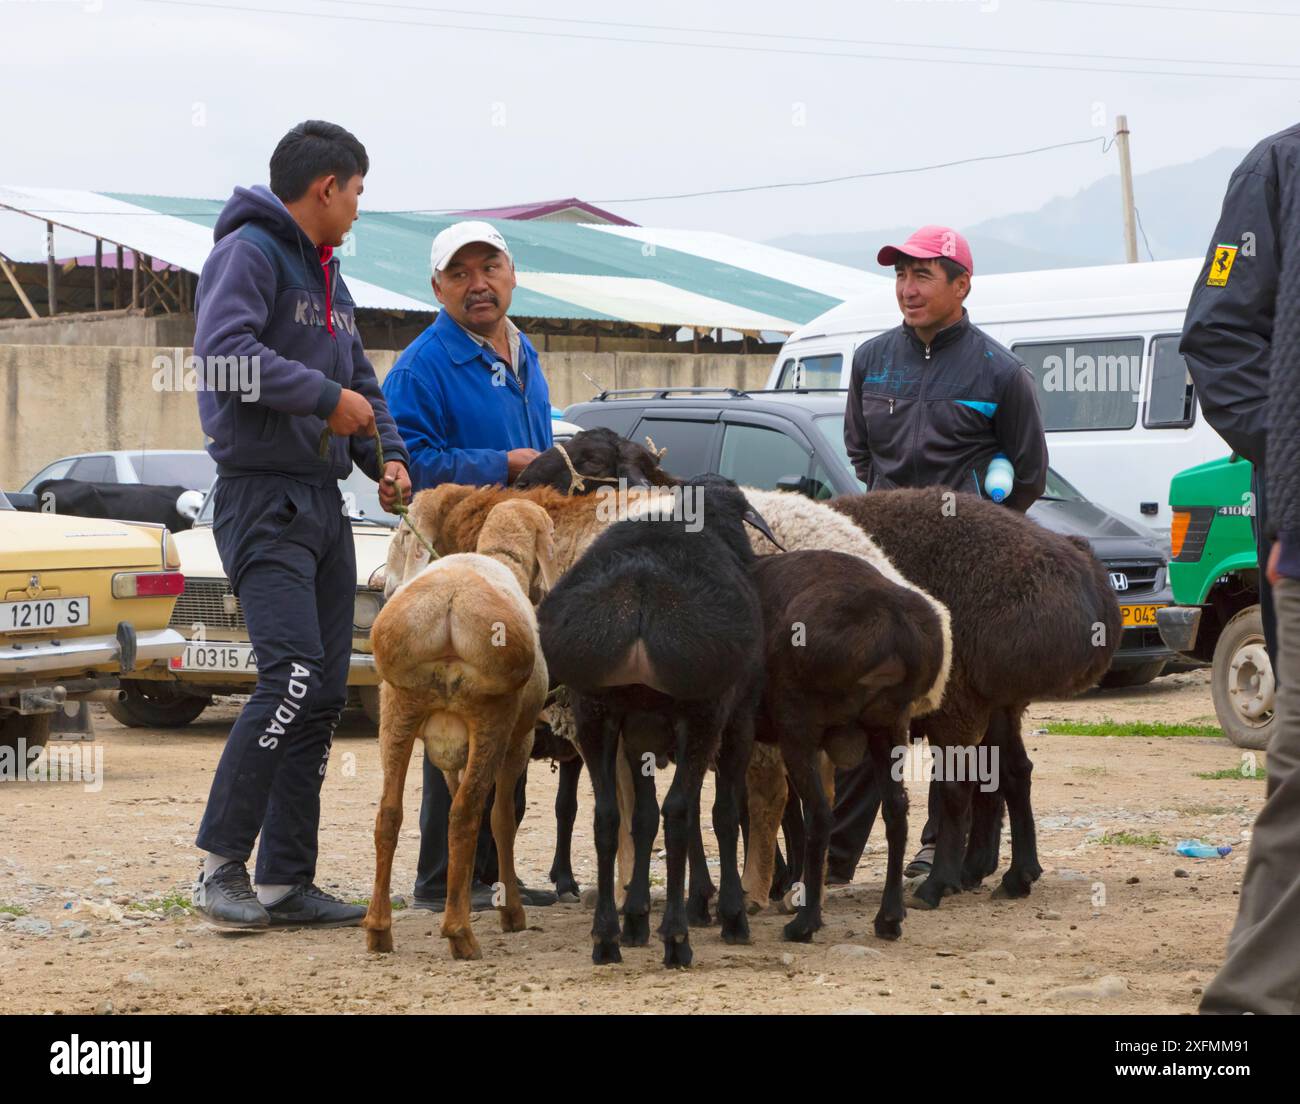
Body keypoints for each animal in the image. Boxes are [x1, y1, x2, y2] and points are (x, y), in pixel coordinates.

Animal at [537, 476, 767, 967]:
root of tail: (640, 590)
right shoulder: (738, 720)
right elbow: (721, 813)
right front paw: (730, 915)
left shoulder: (636, 735)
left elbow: (641, 819)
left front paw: (636, 917)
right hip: (702, 713)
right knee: (679, 813)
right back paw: (677, 939)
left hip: (595, 712)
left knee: (607, 816)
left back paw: (606, 937)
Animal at [751, 549, 945, 942]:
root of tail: (892, 615)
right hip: (887, 727)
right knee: (896, 810)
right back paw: (889, 916)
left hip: (799, 727)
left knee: (821, 814)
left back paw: (805, 922)